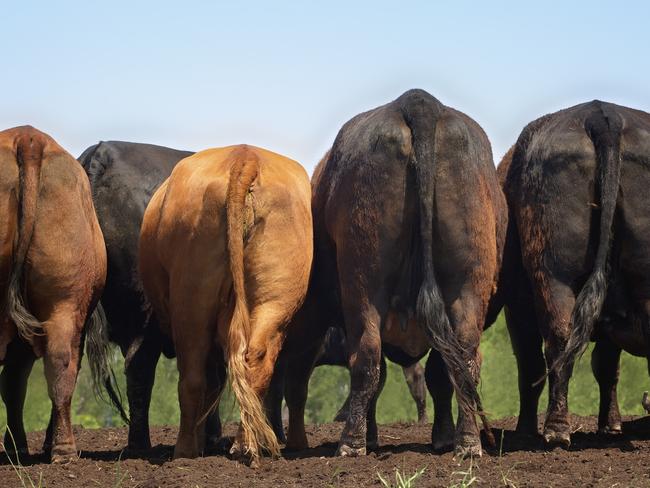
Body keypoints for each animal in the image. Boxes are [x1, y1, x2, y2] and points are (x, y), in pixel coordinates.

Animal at [139, 143, 312, 464]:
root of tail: (246, 156)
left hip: (191, 302)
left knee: (193, 378)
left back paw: (185, 450)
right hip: (273, 299)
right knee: (255, 364)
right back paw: (245, 444)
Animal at [276, 88, 504, 458]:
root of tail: (419, 101)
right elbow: (438, 374)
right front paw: (443, 437)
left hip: (363, 282)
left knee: (367, 358)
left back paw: (352, 443)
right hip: (468, 283)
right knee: (465, 359)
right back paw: (468, 443)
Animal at [496, 100, 648, 446]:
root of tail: (603, 115)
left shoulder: (516, 310)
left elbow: (530, 367)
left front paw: (525, 429)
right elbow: (606, 368)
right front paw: (611, 425)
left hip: (554, 276)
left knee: (558, 339)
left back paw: (556, 429)